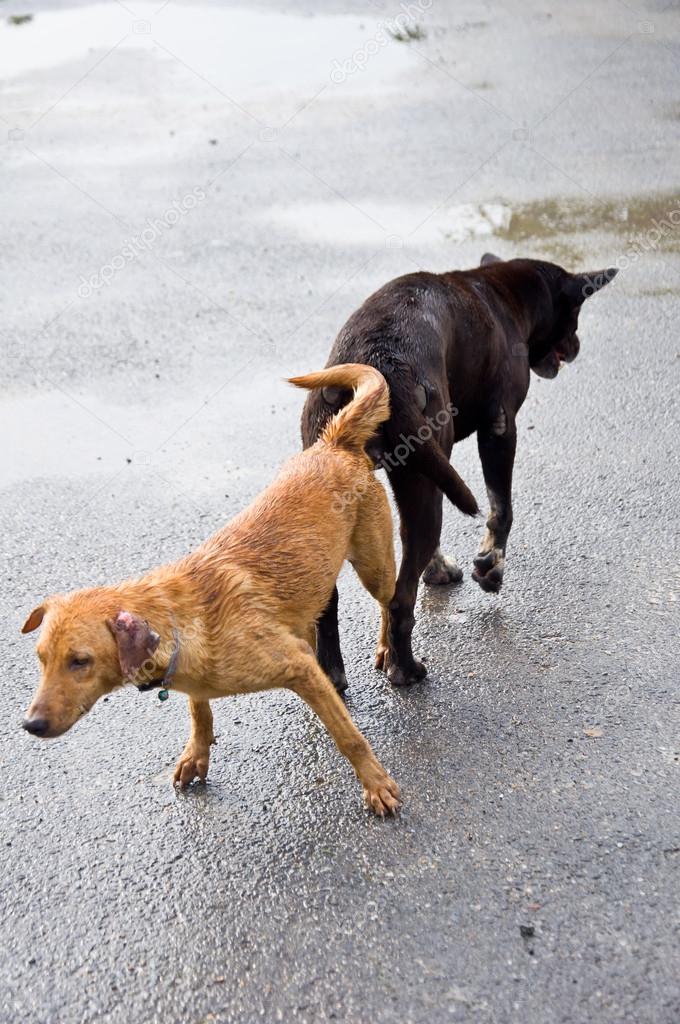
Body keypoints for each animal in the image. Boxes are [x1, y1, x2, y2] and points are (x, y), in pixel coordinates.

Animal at [301, 256, 614, 688]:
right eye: (575, 315)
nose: (577, 346)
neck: (503, 292)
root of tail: (380, 359)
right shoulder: (500, 428)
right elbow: (502, 510)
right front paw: (490, 567)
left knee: (336, 596)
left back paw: (332, 671)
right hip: (424, 484)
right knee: (401, 600)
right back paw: (405, 668)